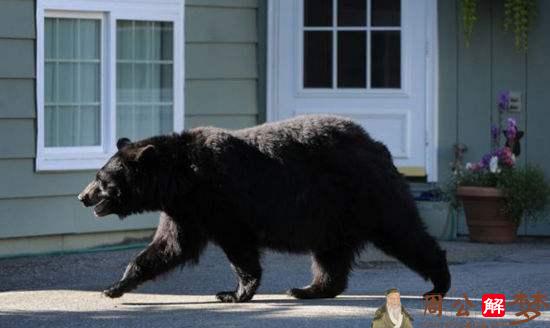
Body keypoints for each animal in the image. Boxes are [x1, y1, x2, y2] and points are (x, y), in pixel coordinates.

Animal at [78, 114, 452, 302]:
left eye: (101, 178)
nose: (83, 196)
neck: (181, 179)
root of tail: (379, 146)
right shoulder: (185, 210)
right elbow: (168, 247)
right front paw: (114, 286)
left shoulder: (220, 199)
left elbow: (239, 248)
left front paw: (233, 292)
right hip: (332, 214)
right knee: (330, 255)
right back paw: (308, 289)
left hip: (368, 194)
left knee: (403, 233)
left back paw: (439, 283)